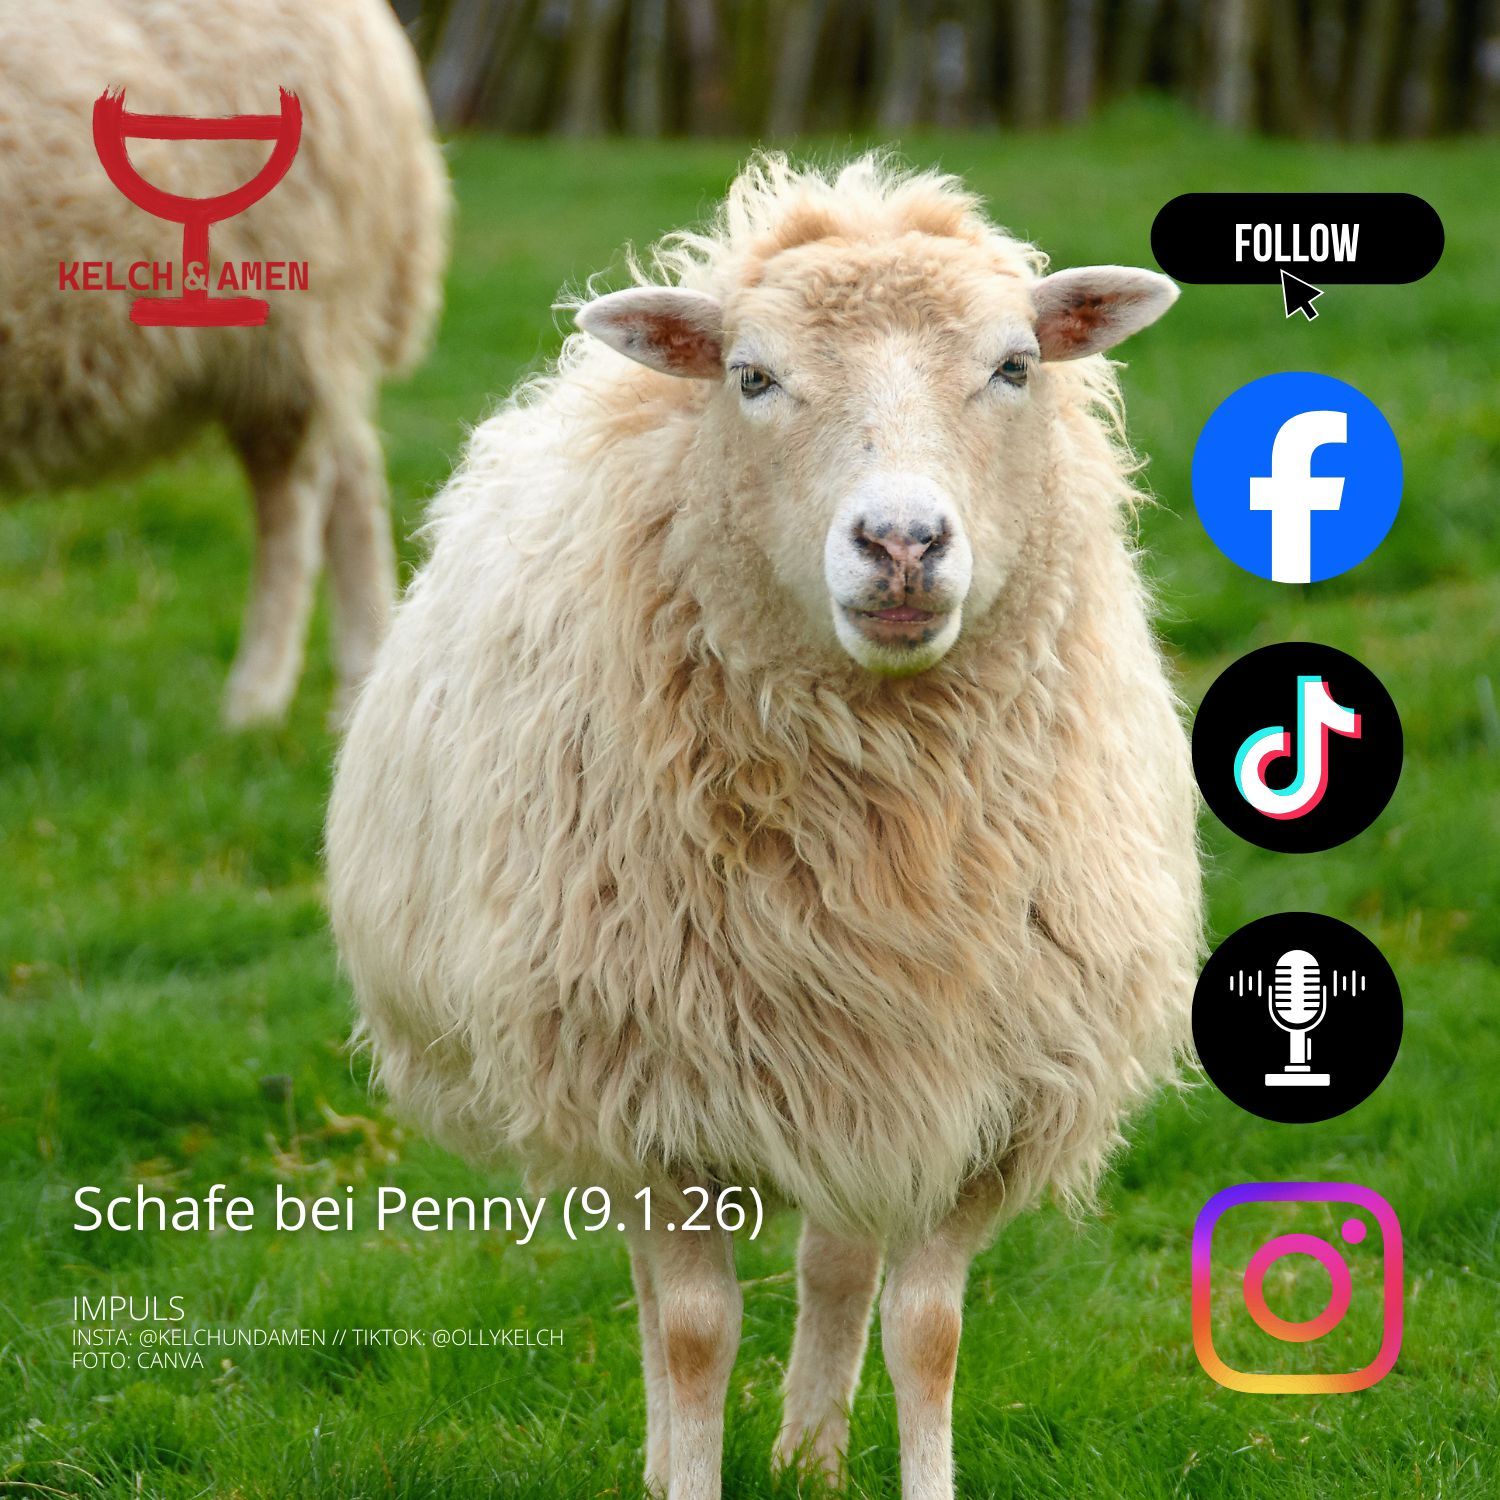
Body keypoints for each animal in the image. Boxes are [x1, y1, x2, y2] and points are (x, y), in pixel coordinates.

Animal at [327, 153, 1202, 1500]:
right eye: (752, 376)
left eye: (1014, 365)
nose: (902, 541)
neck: (890, 816)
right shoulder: (646, 1087)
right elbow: (694, 1329)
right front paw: (685, 1469)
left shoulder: (983, 1086)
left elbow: (928, 1327)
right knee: (660, 1291)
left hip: (849, 1055)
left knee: (836, 1260)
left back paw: (810, 1455)